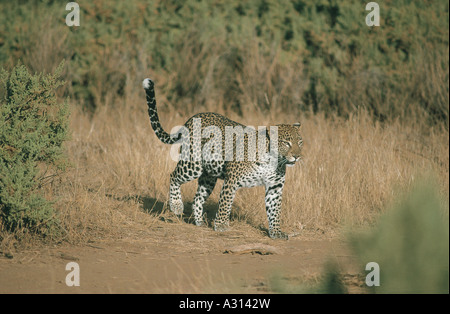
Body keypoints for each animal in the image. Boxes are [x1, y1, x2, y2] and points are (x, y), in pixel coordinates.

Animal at [142, 78, 304, 238]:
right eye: (286, 143)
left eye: (300, 142)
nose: (297, 156)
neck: (272, 160)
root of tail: (192, 118)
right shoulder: (232, 181)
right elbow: (225, 203)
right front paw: (221, 225)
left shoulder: (275, 187)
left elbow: (275, 210)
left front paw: (276, 232)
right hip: (193, 164)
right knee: (174, 176)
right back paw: (176, 205)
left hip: (209, 176)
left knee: (197, 198)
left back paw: (200, 222)